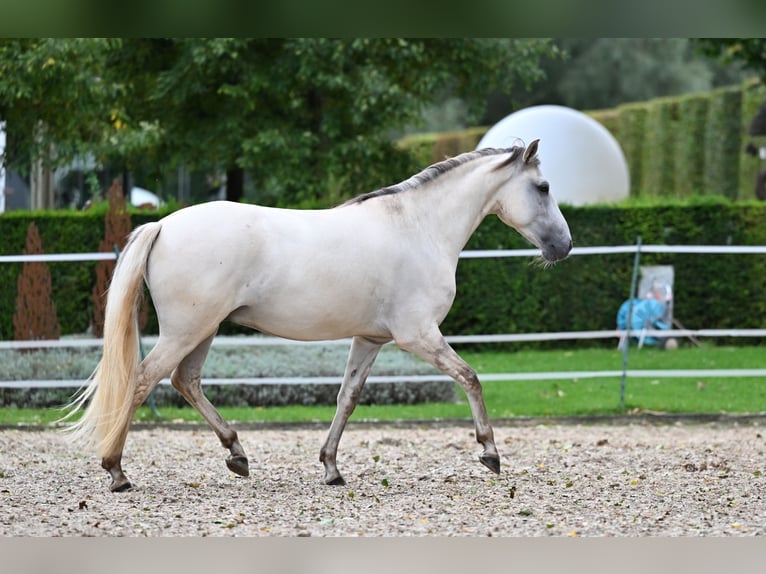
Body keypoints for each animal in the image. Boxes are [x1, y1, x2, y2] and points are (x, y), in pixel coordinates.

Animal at [64, 141, 568, 496]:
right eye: (543, 188)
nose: (563, 246)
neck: (418, 227)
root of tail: (164, 224)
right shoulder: (419, 335)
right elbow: (470, 377)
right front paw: (490, 452)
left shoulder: (370, 340)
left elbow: (347, 398)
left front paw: (330, 467)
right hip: (187, 330)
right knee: (143, 380)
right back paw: (116, 472)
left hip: (203, 330)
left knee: (185, 381)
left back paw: (237, 455)